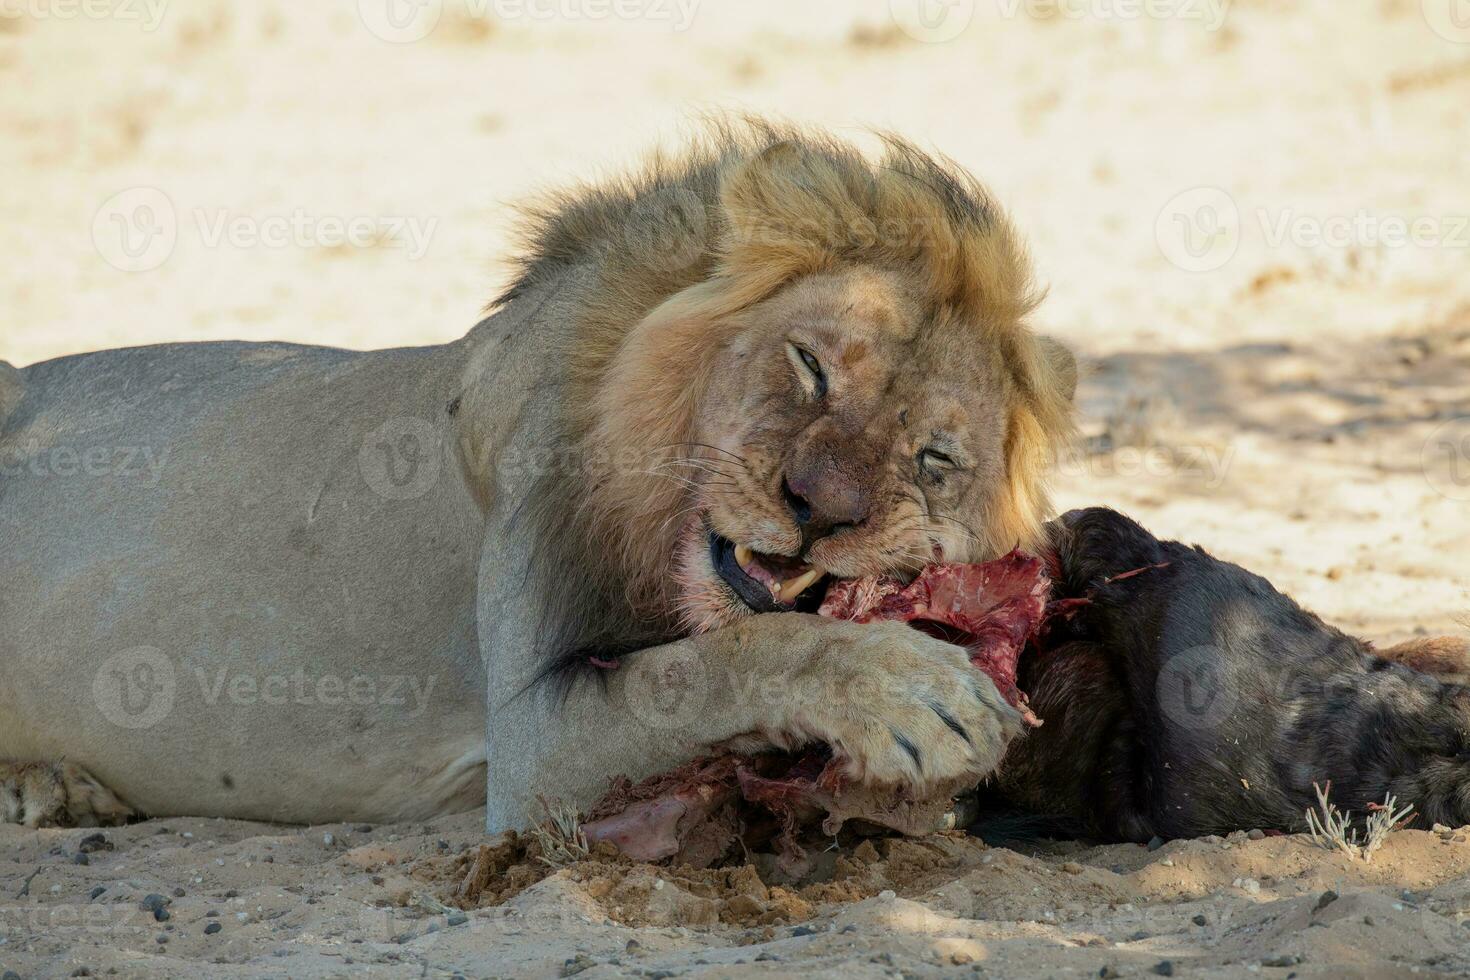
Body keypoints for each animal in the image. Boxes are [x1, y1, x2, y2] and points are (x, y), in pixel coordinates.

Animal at [0, 120, 1081, 828]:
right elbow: (725, 657)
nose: (817, 510)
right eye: (810, 364)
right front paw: (914, 694)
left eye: (933, 459)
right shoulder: (530, 748)